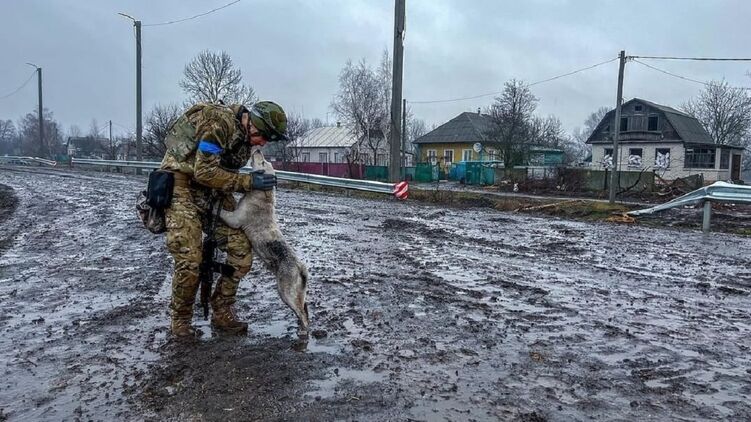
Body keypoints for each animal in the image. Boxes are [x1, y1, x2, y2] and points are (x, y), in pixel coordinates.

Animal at [219, 148, 310, 340]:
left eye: (262, 163)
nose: (259, 149)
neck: (261, 194)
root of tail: (300, 267)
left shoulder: (234, 219)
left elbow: (224, 213)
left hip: (286, 293)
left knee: (302, 313)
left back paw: (303, 332)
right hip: (297, 293)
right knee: (305, 308)